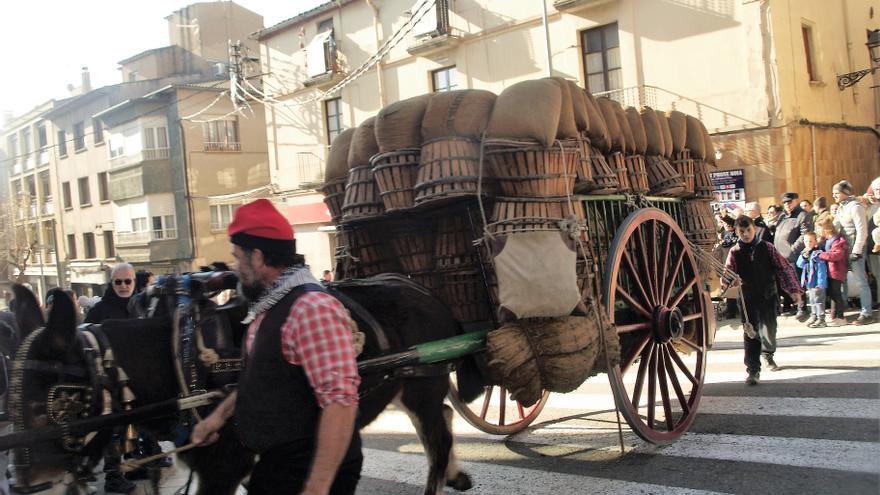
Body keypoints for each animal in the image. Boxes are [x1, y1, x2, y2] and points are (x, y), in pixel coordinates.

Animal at [5, 276, 482, 495]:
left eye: (57, 402)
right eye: (12, 402)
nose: (27, 486)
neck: (178, 360)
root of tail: (424, 291)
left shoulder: (223, 467)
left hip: (423, 384)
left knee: (436, 438)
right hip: (411, 385)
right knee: (441, 418)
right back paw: (456, 472)